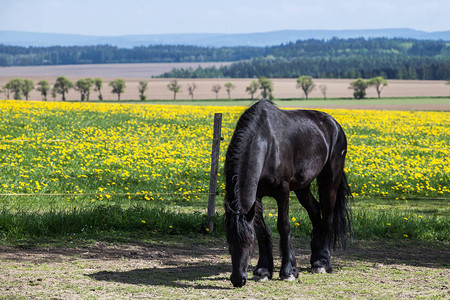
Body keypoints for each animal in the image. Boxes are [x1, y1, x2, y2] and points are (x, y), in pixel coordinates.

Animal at [225, 99, 352, 288]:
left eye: (250, 242)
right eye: (228, 240)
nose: (238, 279)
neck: (267, 142)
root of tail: (334, 124)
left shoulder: (282, 191)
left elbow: (284, 226)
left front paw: (288, 271)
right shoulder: (257, 196)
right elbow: (262, 228)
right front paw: (263, 270)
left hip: (329, 180)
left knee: (328, 215)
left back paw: (323, 262)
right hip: (303, 186)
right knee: (315, 212)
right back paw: (315, 258)